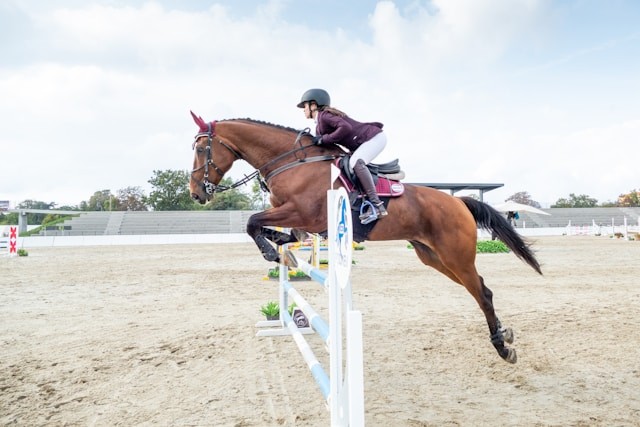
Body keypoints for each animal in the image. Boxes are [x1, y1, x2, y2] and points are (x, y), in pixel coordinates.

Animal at [189, 113, 540, 364]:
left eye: (201, 149)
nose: (196, 193)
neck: (292, 161)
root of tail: (459, 202)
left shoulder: (303, 213)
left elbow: (253, 223)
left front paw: (273, 253)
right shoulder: (298, 219)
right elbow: (274, 230)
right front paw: (281, 249)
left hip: (456, 256)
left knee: (483, 294)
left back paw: (502, 347)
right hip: (434, 257)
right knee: (481, 288)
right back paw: (504, 336)